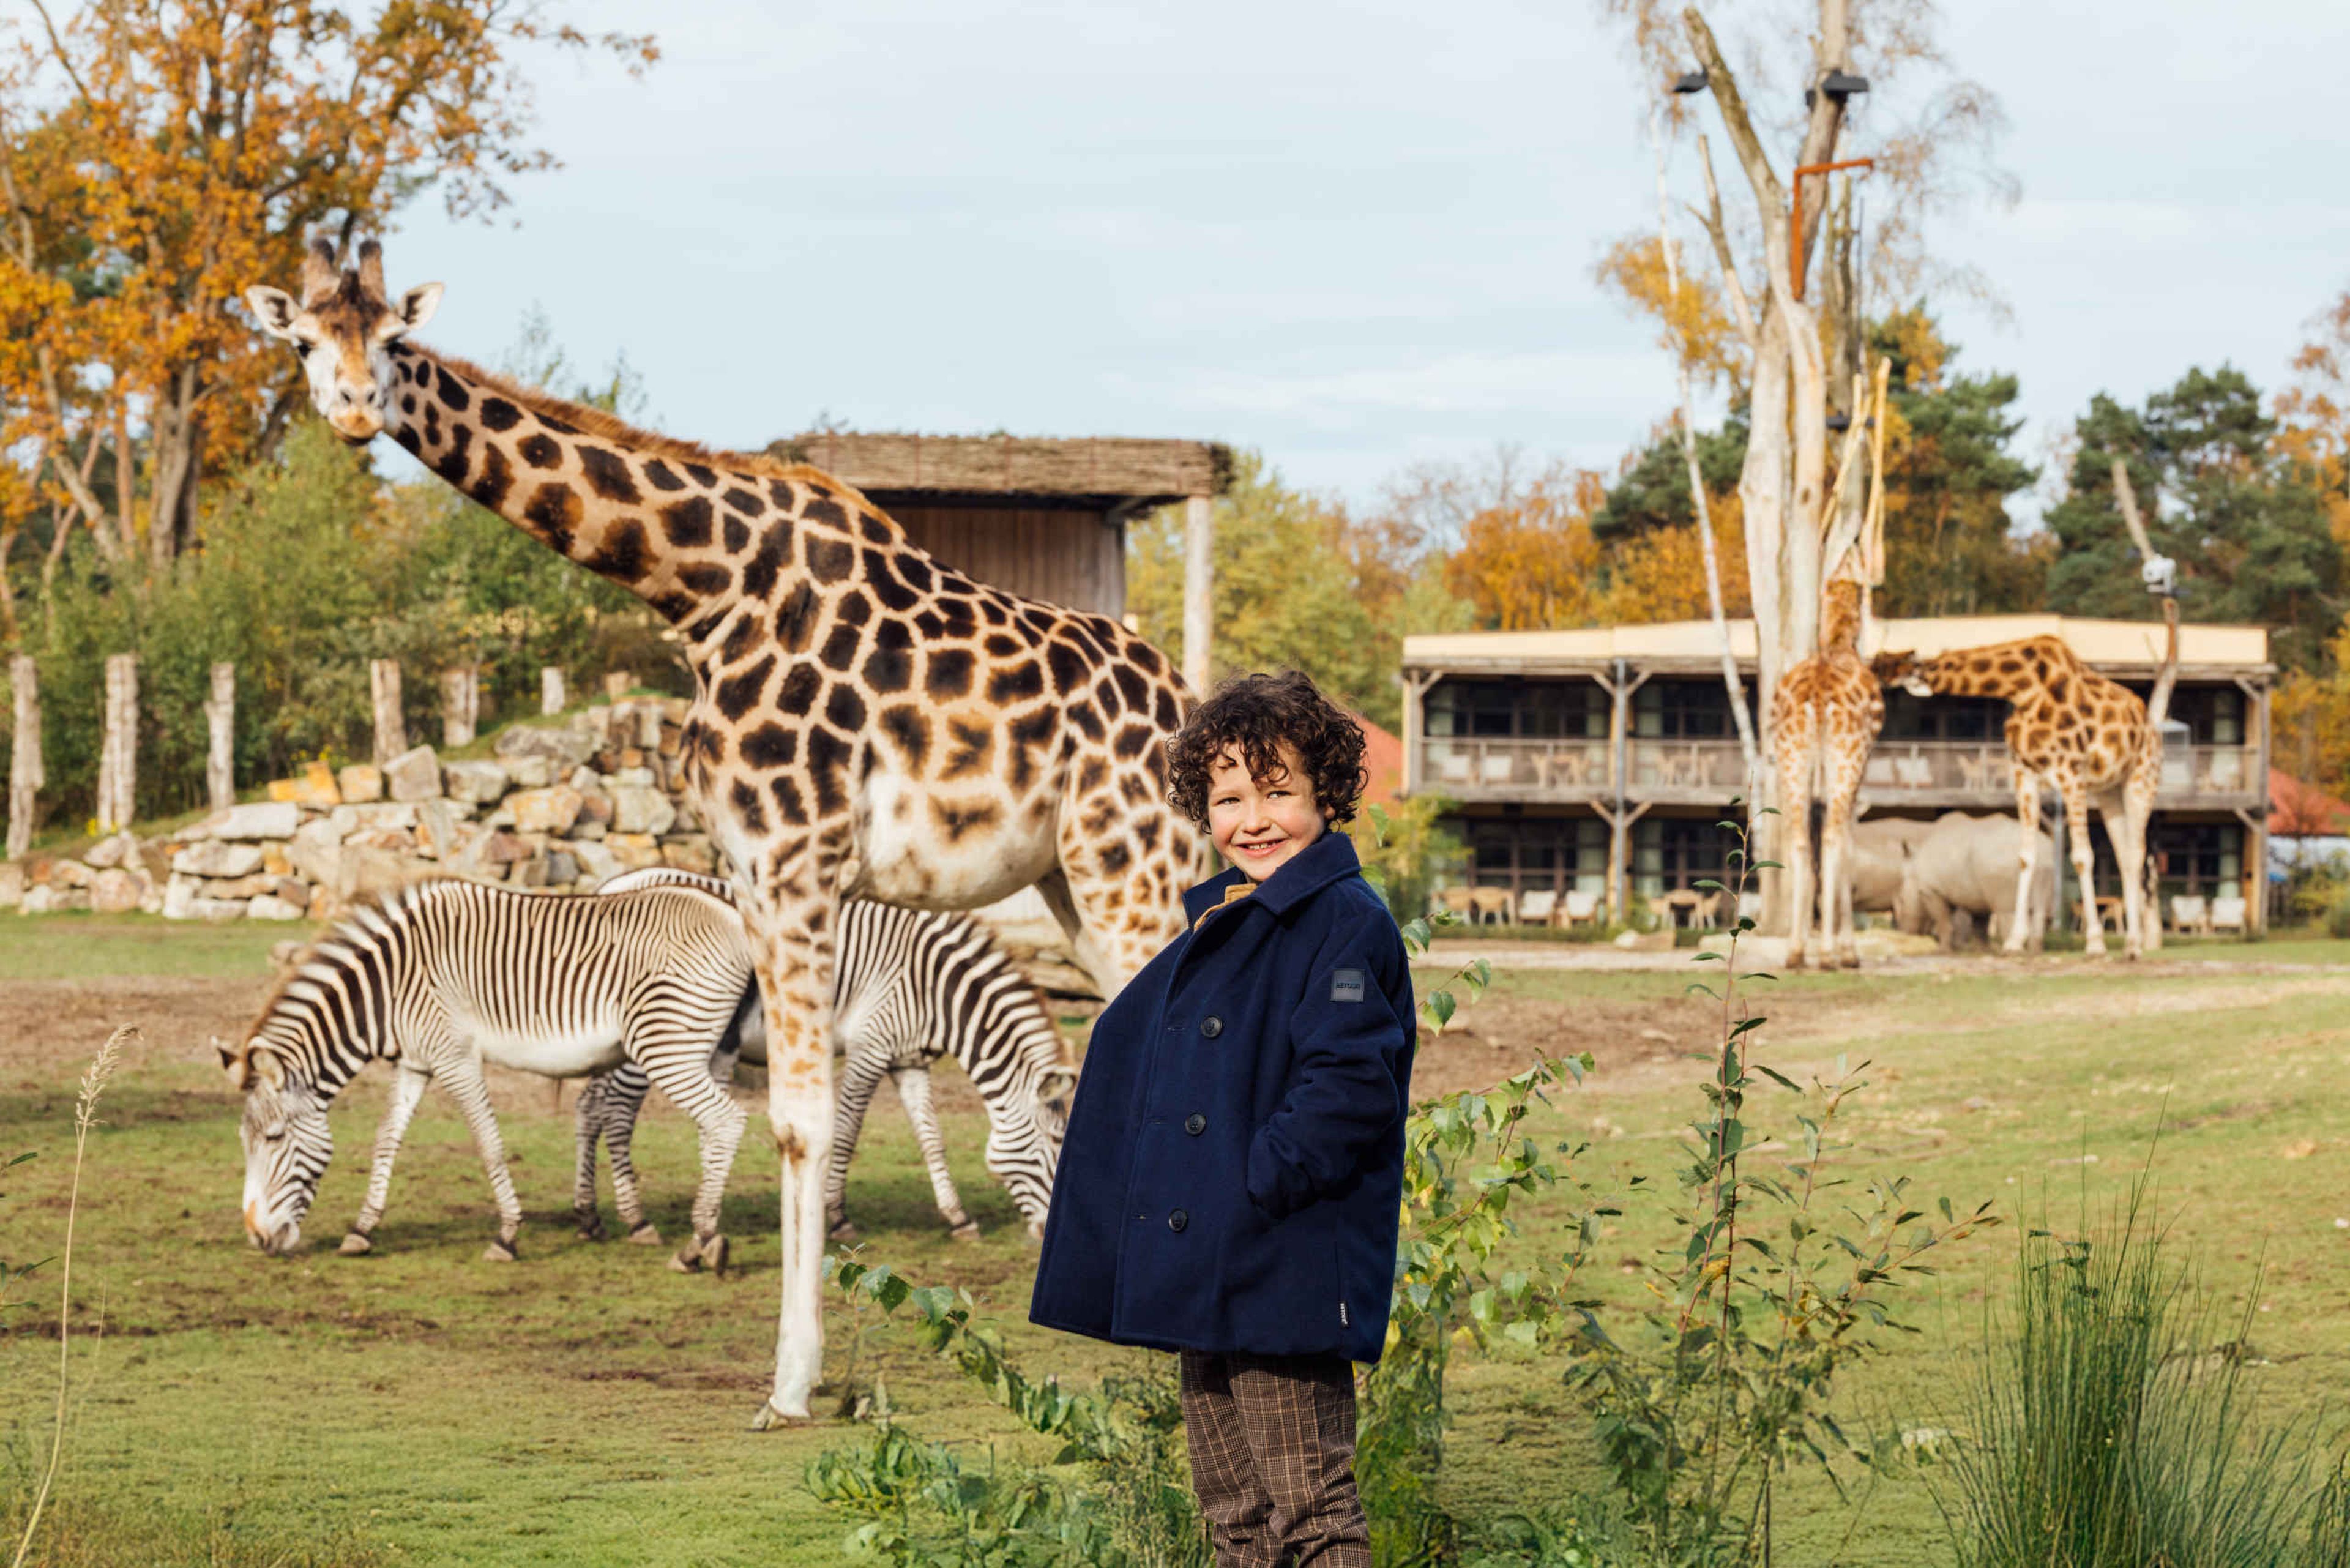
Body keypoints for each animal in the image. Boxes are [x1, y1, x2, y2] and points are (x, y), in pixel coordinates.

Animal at [215, 878, 751, 1272]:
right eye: (243, 1141)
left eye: (274, 1138)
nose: (258, 1238)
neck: (390, 987)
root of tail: (733, 917)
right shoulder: (415, 1061)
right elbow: (387, 1138)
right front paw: (361, 1231)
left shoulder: (455, 1056)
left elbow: (488, 1140)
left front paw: (507, 1236)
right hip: (698, 1048)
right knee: (711, 1127)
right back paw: (703, 1233)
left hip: (664, 1043)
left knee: (726, 1121)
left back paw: (699, 1242)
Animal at [583, 868, 1077, 1241]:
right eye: (1056, 1142)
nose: (1047, 1236)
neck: (932, 985)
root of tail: (610, 886)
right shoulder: (870, 1049)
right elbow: (848, 1130)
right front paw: (837, 1216)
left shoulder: (908, 1059)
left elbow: (930, 1136)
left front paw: (958, 1218)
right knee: (618, 1112)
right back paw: (636, 1219)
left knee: (590, 1107)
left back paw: (590, 1218)